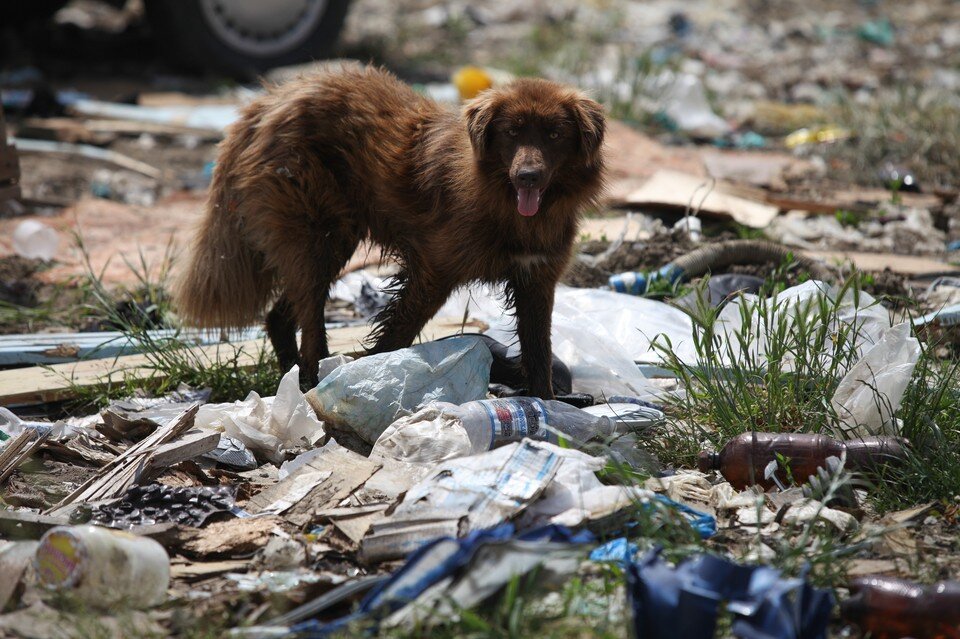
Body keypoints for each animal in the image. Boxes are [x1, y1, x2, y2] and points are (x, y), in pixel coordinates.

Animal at [176, 63, 604, 396]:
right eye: (512, 132)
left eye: (554, 134)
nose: (528, 177)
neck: (507, 207)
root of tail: (268, 100)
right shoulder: (432, 274)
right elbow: (396, 333)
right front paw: (369, 378)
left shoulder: (536, 280)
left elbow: (538, 352)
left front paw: (546, 406)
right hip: (320, 238)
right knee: (309, 325)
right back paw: (311, 383)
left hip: (325, 243)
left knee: (279, 317)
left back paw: (294, 379)